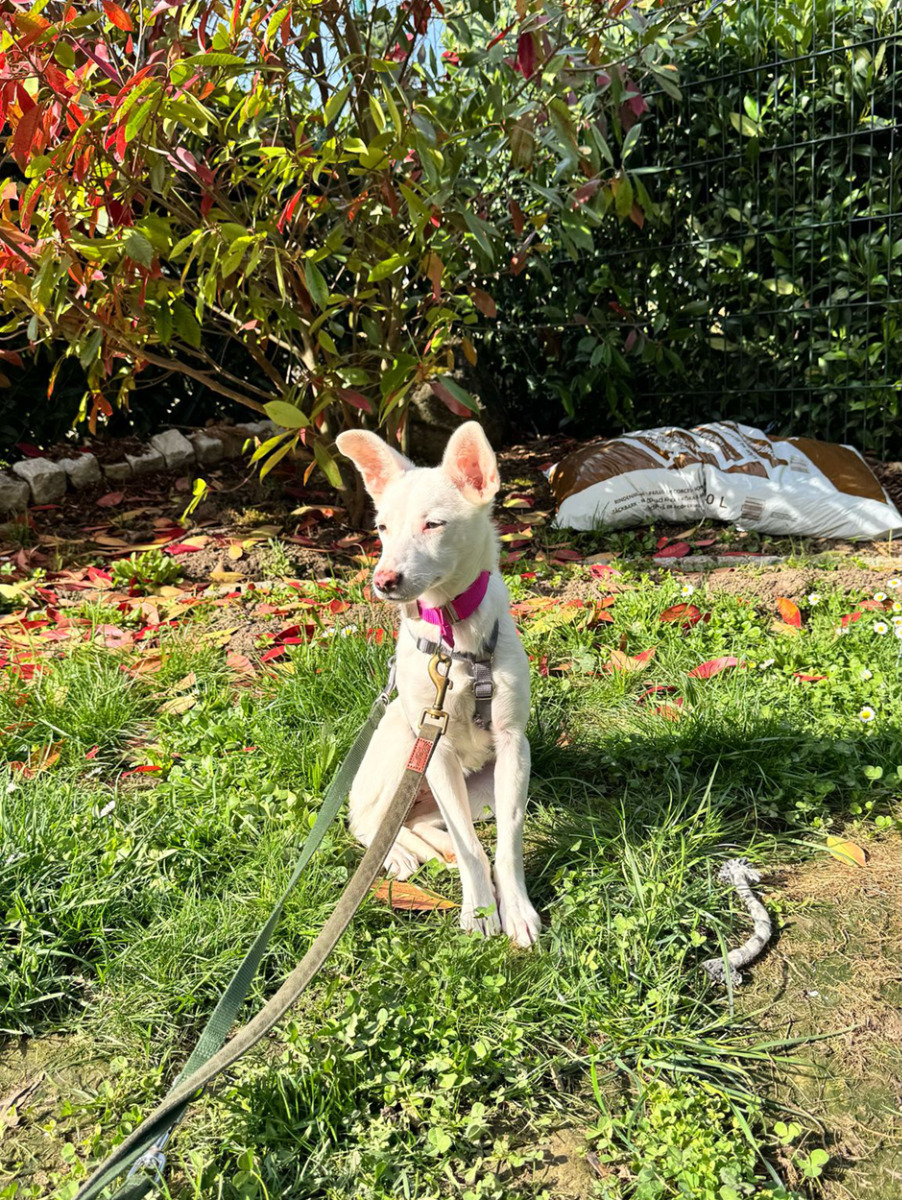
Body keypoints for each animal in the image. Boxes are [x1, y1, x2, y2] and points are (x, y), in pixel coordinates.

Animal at [335, 422, 541, 948]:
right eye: (382, 528)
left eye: (433, 524)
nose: (383, 581)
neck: (453, 633)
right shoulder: (437, 749)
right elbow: (472, 850)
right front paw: (481, 909)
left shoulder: (514, 747)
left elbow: (506, 843)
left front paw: (516, 909)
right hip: (403, 753)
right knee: (369, 824)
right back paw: (397, 854)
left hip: (478, 791)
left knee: (428, 822)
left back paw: (431, 848)